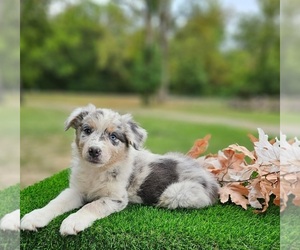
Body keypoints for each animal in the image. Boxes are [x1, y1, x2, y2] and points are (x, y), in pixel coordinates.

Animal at [20, 104, 218, 235]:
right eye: (87, 130)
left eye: (113, 136)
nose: (94, 150)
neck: (97, 171)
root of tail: (213, 181)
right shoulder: (76, 190)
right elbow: (55, 202)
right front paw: (34, 217)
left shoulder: (115, 198)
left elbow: (92, 205)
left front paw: (73, 221)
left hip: (175, 193)